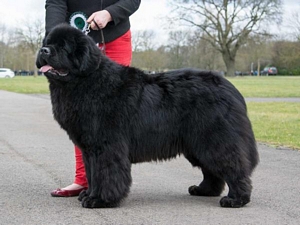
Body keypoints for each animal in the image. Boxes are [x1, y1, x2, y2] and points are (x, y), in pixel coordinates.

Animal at [37, 23, 258, 208]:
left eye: (63, 46)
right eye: (47, 43)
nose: (43, 51)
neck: (87, 81)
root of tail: (229, 87)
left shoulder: (107, 146)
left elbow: (105, 173)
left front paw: (99, 200)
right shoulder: (89, 148)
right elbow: (92, 174)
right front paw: (89, 194)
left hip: (214, 139)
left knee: (234, 166)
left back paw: (236, 199)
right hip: (196, 143)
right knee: (211, 170)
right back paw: (204, 190)